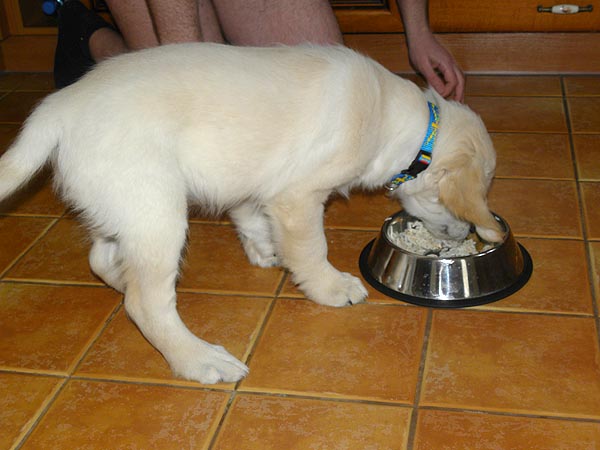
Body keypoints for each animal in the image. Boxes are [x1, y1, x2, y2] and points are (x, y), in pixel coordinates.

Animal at [0, 43, 502, 384]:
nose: (464, 236)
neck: (402, 122)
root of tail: (58, 106)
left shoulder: (251, 181)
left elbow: (250, 219)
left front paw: (266, 251)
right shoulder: (298, 195)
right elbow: (312, 249)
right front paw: (330, 287)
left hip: (125, 206)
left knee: (104, 262)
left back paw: (125, 282)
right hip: (157, 211)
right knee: (146, 304)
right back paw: (199, 359)